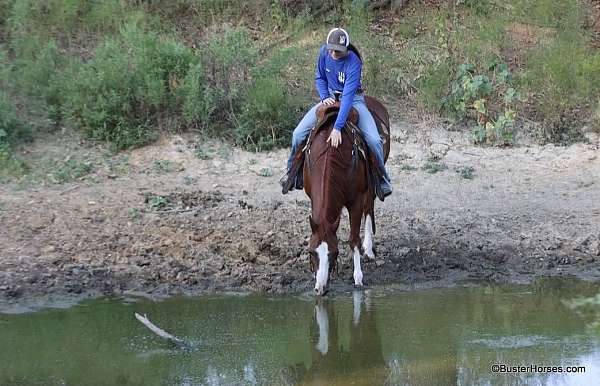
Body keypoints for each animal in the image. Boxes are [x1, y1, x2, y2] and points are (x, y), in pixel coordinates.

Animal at [302, 96, 392, 296]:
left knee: (369, 207)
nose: (320, 289)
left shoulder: (355, 200)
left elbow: (353, 239)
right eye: (311, 252)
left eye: (334, 253)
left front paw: (358, 278)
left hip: (371, 184)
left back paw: (368, 249)